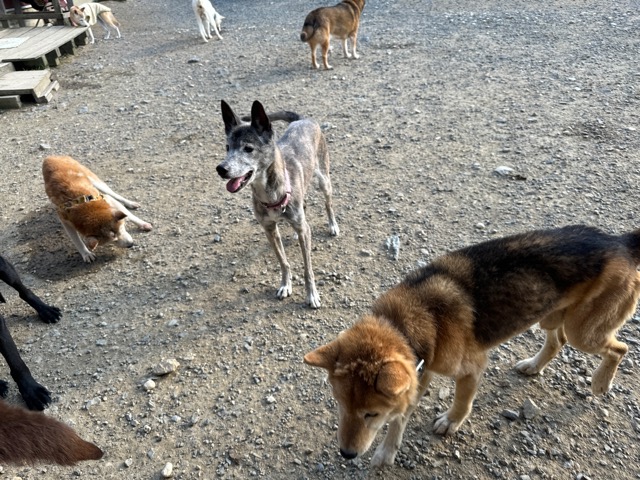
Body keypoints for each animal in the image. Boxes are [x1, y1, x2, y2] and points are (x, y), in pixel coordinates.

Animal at [217, 100, 339, 309]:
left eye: (248, 148)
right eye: (227, 147)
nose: (221, 169)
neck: (269, 193)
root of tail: (303, 119)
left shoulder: (300, 229)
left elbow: (308, 268)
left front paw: (312, 295)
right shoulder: (269, 229)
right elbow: (283, 261)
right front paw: (285, 285)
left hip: (324, 178)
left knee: (328, 203)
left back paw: (332, 225)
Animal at [305, 224, 640, 466]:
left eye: (371, 414)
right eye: (340, 405)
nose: (346, 454)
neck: (405, 323)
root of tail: (620, 241)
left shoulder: (470, 368)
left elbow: (461, 403)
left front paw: (450, 422)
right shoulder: (419, 372)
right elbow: (399, 419)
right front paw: (387, 454)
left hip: (583, 332)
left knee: (619, 348)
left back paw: (600, 382)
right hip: (552, 317)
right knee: (556, 341)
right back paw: (533, 366)